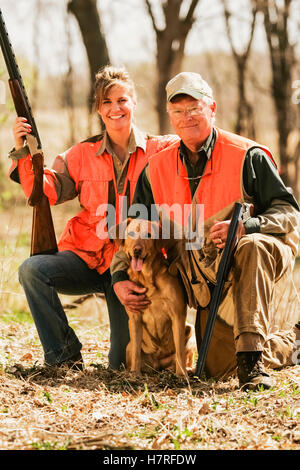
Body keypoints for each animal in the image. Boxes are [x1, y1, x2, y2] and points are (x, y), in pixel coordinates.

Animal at [114, 218, 195, 376]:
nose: (137, 250)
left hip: (190, 331)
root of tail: (158, 365)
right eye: (131, 234)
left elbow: (180, 352)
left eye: (148, 235)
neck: (147, 278)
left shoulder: (178, 315)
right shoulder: (134, 317)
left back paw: (186, 369)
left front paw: (182, 375)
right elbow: (136, 353)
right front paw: (135, 374)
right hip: (129, 345)